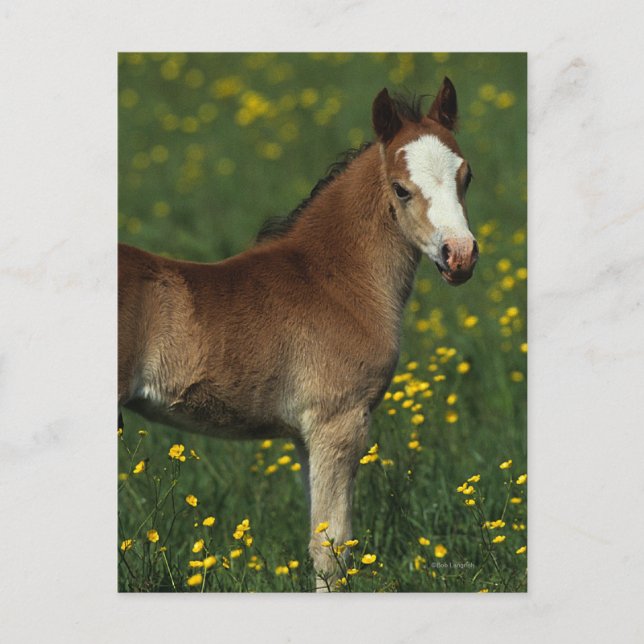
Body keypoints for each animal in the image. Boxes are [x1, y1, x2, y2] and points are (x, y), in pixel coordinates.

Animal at [118, 77, 478, 591]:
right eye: (401, 189)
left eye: (466, 177)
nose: (460, 256)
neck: (334, 281)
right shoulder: (339, 422)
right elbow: (332, 550)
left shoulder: (306, 436)